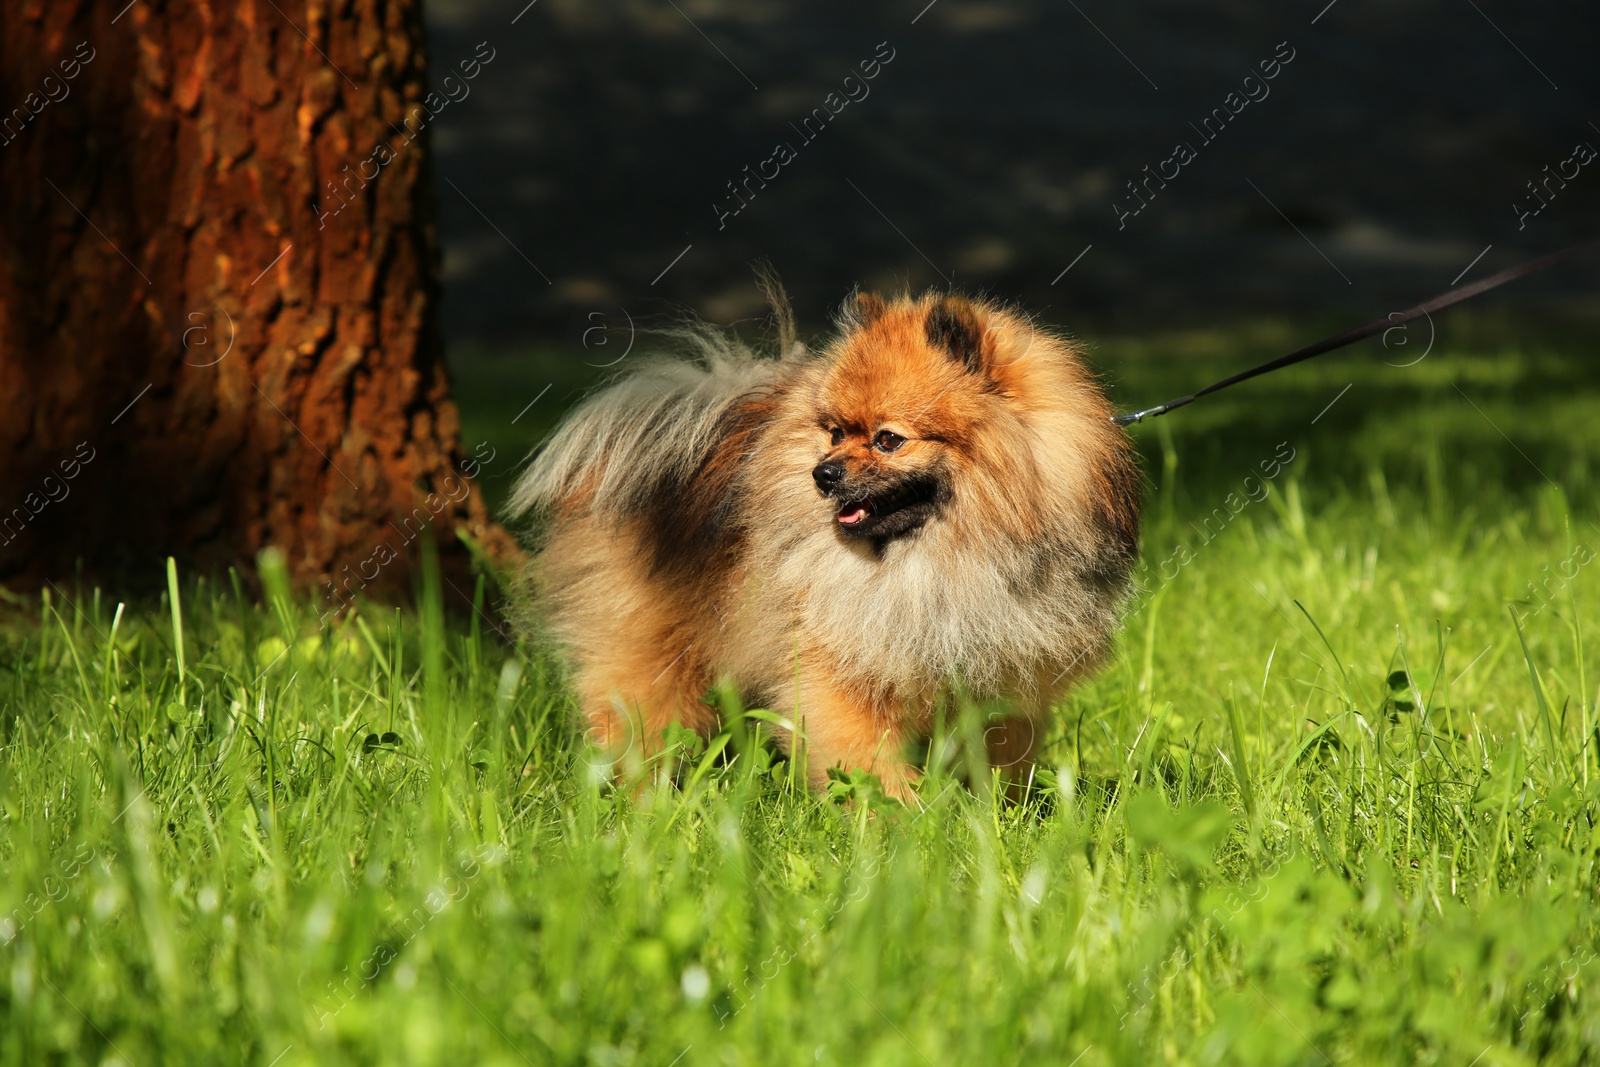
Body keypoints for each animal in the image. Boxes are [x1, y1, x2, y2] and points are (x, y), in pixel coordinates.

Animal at [512, 292, 1139, 799]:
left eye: (888, 440)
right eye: (835, 431)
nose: (824, 473)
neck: (939, 560)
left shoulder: (1001, 674)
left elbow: (996, 756)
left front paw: (993, 815)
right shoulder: (839, 670)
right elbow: (865, 759)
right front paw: (902, 820)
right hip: (651, 654)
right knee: (635, 723)